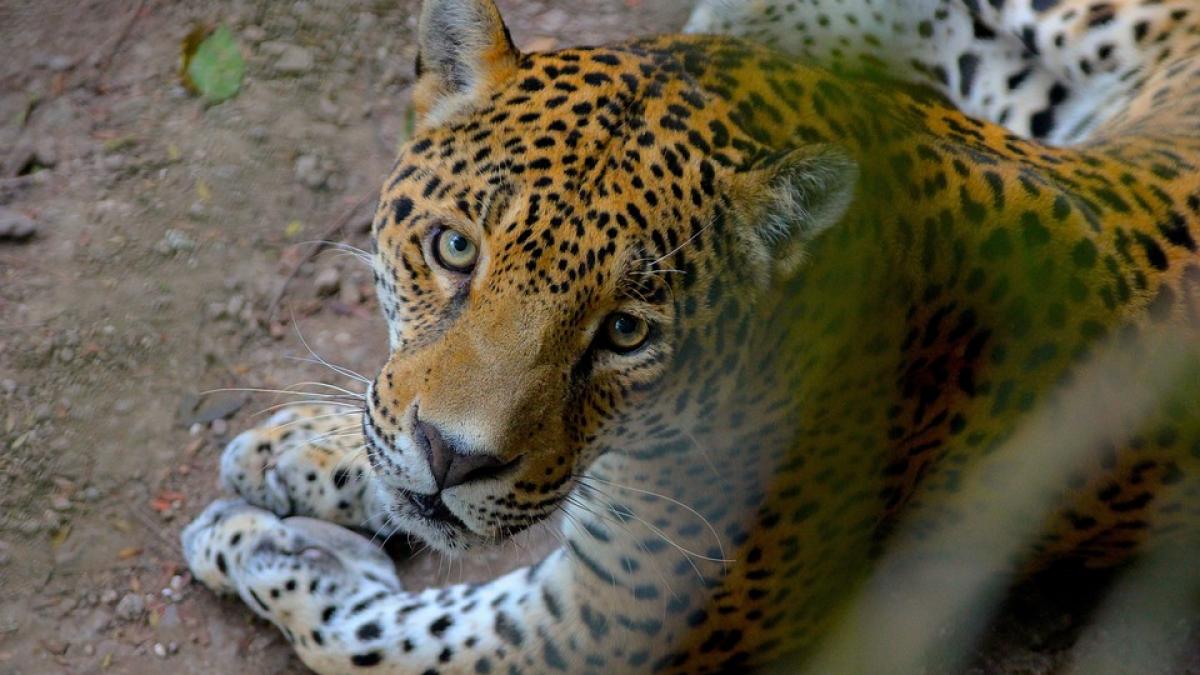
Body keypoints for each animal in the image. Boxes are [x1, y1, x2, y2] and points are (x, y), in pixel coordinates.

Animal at [181, 0, 1200, 672]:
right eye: (454, 248)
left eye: (626, 332)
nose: (452, 456)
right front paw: (295, 453)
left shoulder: (605, 629)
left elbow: (373, 639)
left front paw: (256, 545)